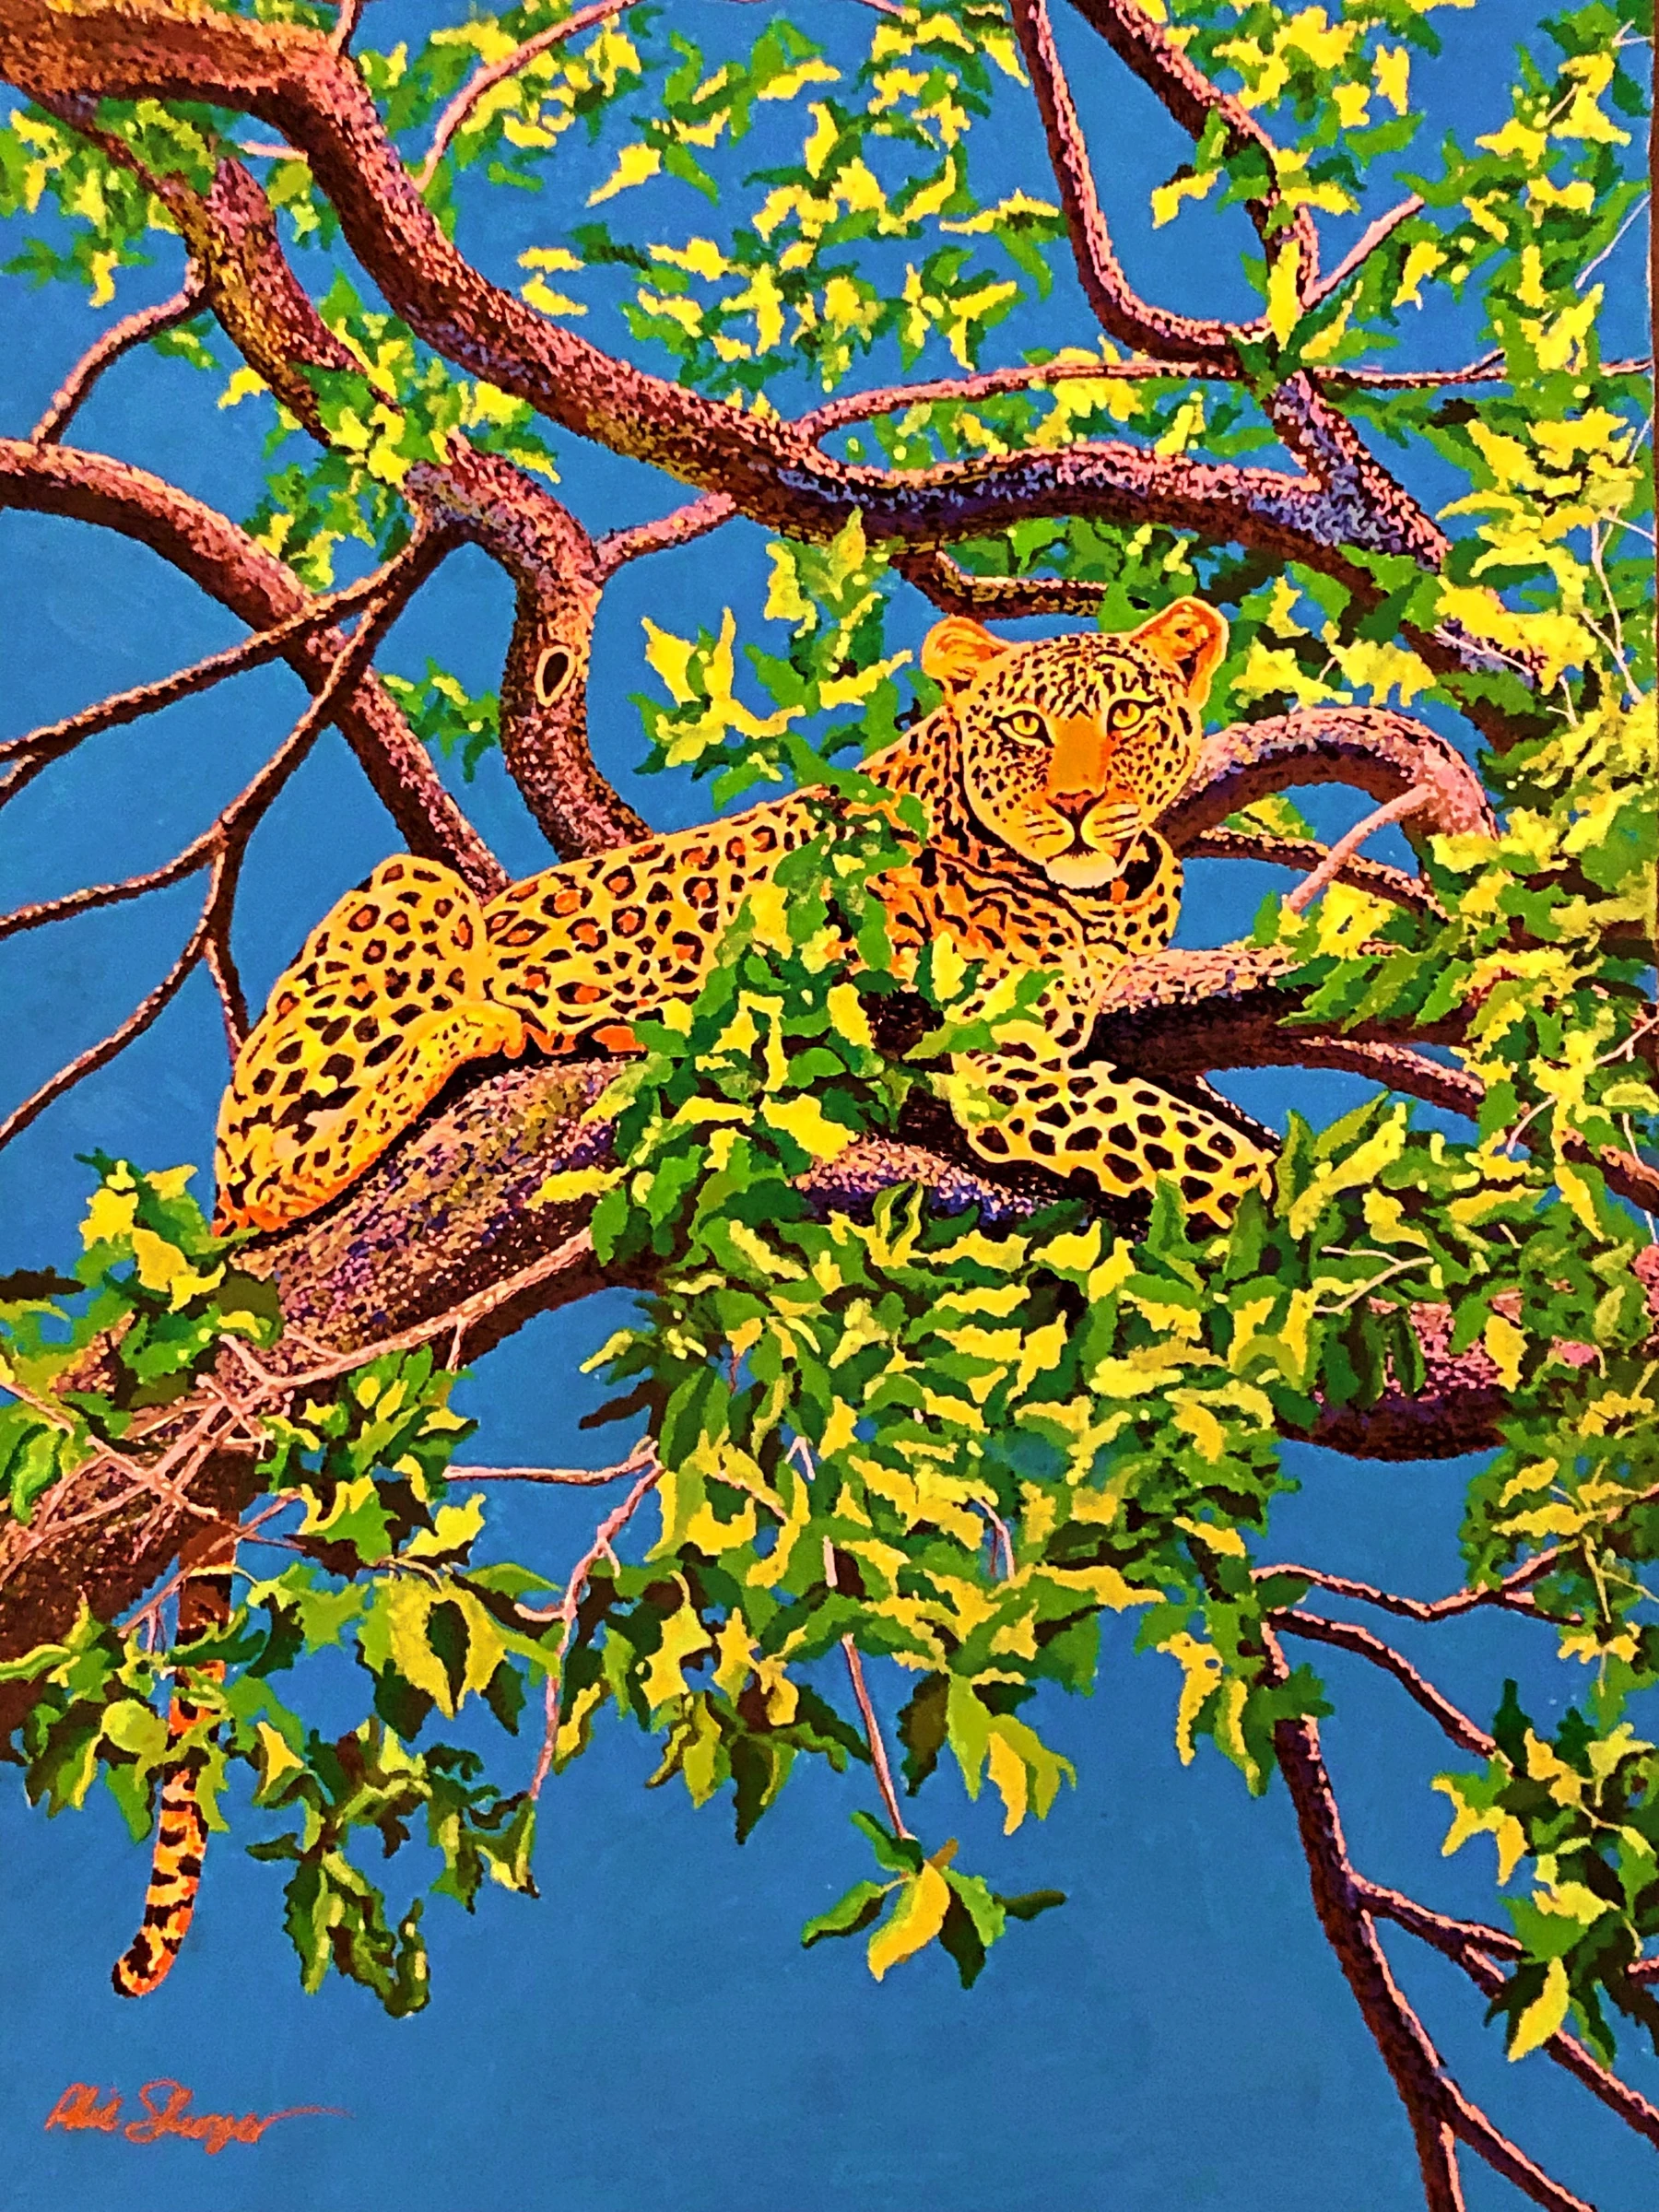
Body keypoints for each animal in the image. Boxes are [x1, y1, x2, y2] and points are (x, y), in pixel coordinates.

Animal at [213, 597, 1272, 1240]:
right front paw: (1295, 1216)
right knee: (264, 1168)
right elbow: (1201, 1152)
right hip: (410, 892)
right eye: (1024, 729)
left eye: (1128, 714)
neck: (1106, 890)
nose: (1082, 804)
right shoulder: (1004, 1061)